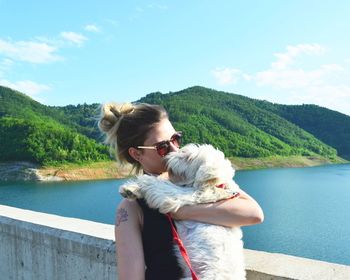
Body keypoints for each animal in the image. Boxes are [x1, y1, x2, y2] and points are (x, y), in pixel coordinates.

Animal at [120, 144, 246, 280]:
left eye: (188, 158)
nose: (168, 156)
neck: (218, 185)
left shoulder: (191, 195)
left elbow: (162, 187)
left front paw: (140, 183)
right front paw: (132, 189)